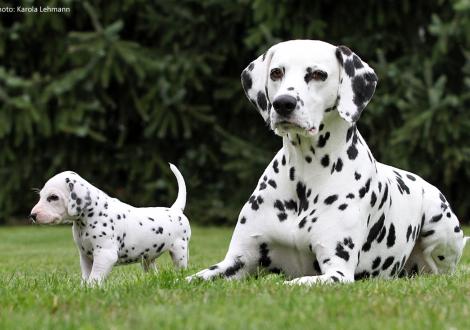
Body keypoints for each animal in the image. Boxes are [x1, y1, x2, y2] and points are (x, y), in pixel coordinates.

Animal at [30, 164, 191, 284]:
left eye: (53, 197)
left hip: (180, 252)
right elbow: (86, 276)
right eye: (41, 196)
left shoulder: (104, 255)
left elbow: (94, 278)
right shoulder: (85, 256)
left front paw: (90, 289)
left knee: (181, 268)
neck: (92, 214)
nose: (32, 215)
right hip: (147, 258)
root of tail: (175, 209)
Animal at [189, 40, 468, 284]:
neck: (305, 172)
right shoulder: (236, 262)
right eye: (277, 72)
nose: (283, 104)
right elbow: (192, 278)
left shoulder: (337, 272)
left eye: (318, 74)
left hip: (439, 225)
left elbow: (294, 283)